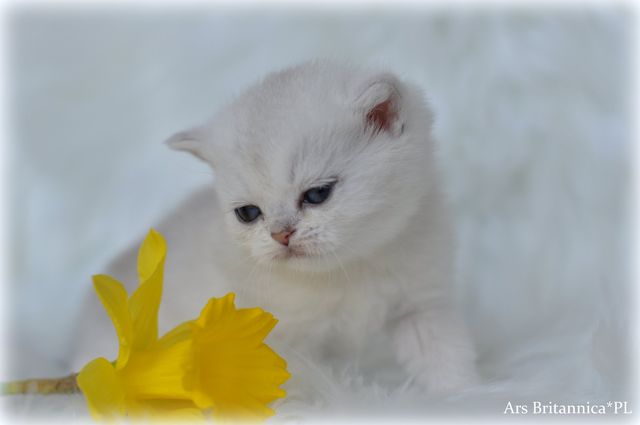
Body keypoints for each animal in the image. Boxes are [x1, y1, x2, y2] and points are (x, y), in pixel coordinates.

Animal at [71, 61, 477, 395]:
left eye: (317, 194)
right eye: (249, 213)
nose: (281, 235)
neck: (347, 269)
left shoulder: (422, 305)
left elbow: (443, 357)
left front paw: (461, 397)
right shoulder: (282, 347)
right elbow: (301, 389)